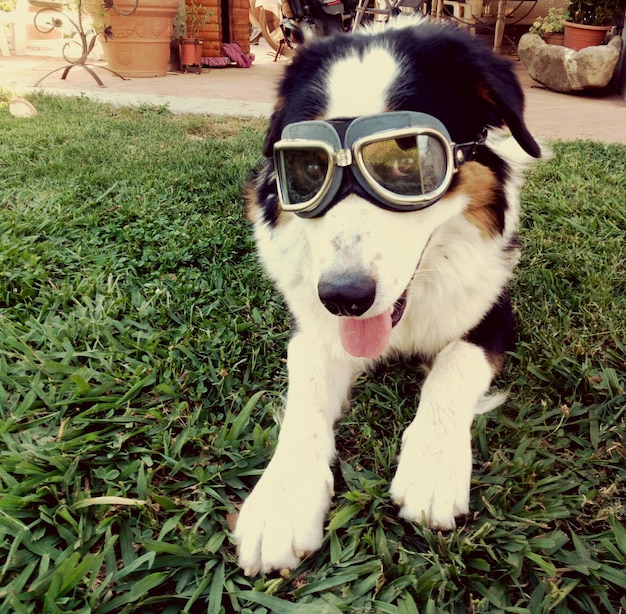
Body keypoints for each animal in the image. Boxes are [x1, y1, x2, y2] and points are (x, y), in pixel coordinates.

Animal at [236, 16, 540, 580]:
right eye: (308, 169)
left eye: (409, 161)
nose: (344, 297)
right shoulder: (312, 327)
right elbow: (305, 393)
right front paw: (281, 501)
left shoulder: (494, 309)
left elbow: (454, 365)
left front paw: (433, 466)